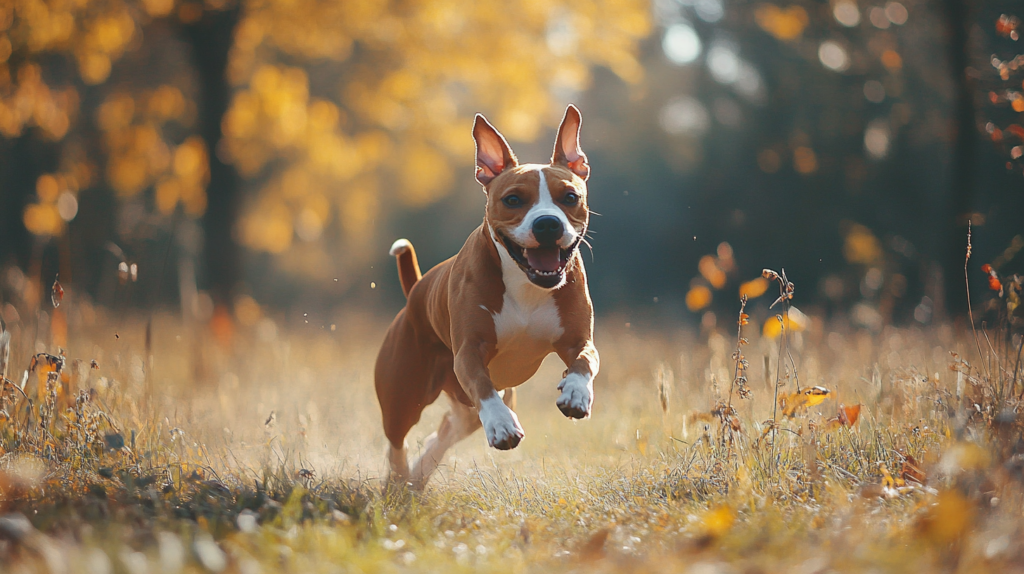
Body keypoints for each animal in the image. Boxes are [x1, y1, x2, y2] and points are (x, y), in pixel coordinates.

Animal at [374, 103, 598, 487]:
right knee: (396, 442)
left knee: (450, 426)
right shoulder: (469, 351)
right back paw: (401, 481)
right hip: (403, 392)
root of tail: (415, 291)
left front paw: (575, 393)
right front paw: (502, 424)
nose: (547, 224)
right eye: (513, 199)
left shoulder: (577, 339)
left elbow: (585, 361)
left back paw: (419, 475)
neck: (526, 283)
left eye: (570, 197)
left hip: (461, 399)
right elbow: (483, 385)